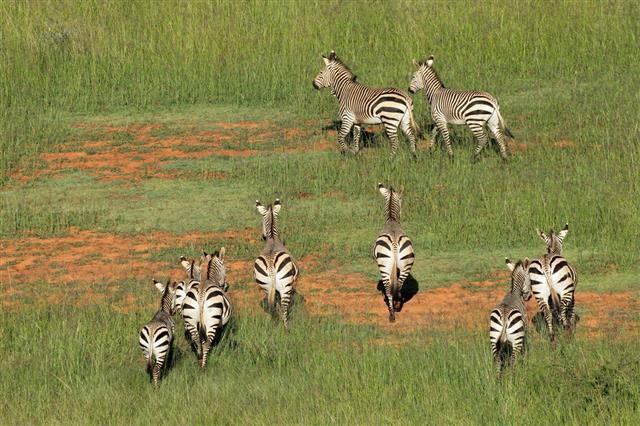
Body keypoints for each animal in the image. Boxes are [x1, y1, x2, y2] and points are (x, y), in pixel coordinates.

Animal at [254, 198, 298, 328]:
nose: (263, 237)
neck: (273, 238)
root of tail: (271, 266)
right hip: (285, 285)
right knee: (284, 307)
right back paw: (287, 328)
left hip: (265, 285)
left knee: (272, 306)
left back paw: (275, 325)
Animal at [370, 184, 416, 322]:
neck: (391, 220)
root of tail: (395, 243)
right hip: (406, 263)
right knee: (399, 286)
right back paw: (396, 304)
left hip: (384, 265)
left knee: (389, 288)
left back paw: (391, 314)